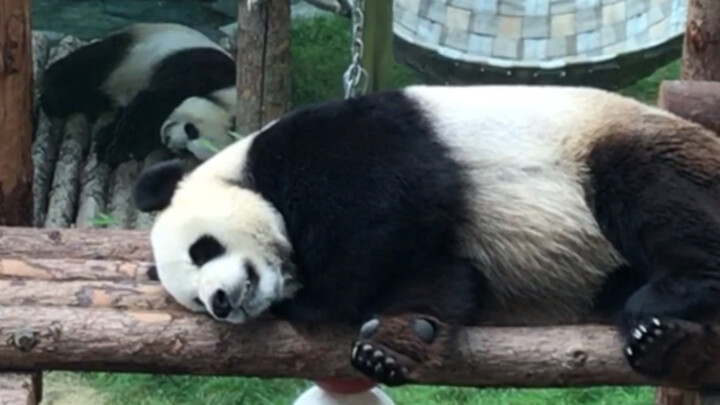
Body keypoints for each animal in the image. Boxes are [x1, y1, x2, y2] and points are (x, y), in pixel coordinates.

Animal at [40, 21, 236, 167]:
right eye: (192, 130)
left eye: (186, 150)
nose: (168, 140)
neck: (226, 92)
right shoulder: (203, 72)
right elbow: (150, 101)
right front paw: (116, 148)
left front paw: (111, 142)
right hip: (125, 51)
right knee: (74, 78)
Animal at [132, 84, 720, 386]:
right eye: (194, 301)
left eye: (203, 248)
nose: (222, 302)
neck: (246, 171)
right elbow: (441, 273)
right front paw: (400, 339)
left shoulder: (336, 145)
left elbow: (393, 204)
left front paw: (317, 301)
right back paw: (663, 343)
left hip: (621, 151)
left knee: (652, 194)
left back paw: (666, 297)